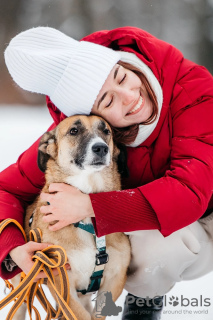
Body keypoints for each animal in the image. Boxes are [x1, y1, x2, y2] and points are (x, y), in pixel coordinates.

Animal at [13, 115, 130, 320]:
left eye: (106, 131)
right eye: (74, 131)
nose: (101, 148)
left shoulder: (114, 277)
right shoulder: (61, 281)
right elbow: (79, 314)